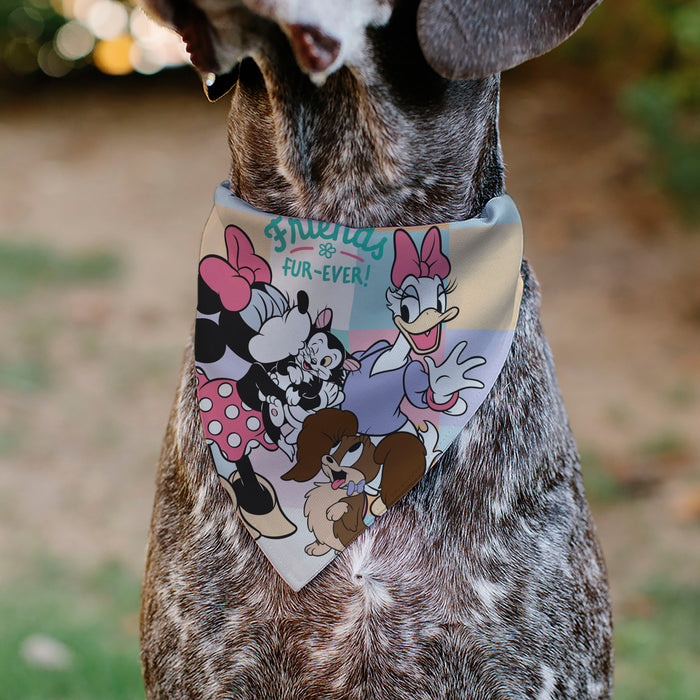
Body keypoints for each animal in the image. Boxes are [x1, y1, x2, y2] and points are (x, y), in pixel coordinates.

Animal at [284, 408, 426, 556]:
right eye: (335, 445)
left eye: (355, 448)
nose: (327, 458)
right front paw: (316, 547)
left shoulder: (353, 515)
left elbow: (348, 506)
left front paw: (335, 510)